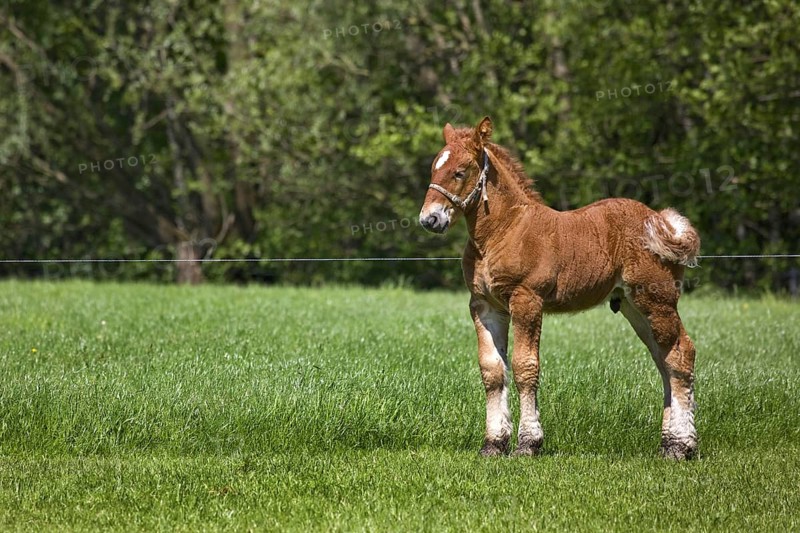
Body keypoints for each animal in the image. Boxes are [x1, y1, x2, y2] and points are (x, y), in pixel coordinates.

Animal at [418, 117, 700, 460]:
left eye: (460, 172)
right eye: (434, 168)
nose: (429, 219)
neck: (504, 231)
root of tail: (661, 223)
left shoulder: (527, 301)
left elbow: (525, 367)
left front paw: (528, 443)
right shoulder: (484, 306)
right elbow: (492, 371)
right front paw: (493, 443)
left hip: (657, 299)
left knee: (681, 355)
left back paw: (681, 446)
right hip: (633, 306)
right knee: (663, 360)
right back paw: (668, 443)